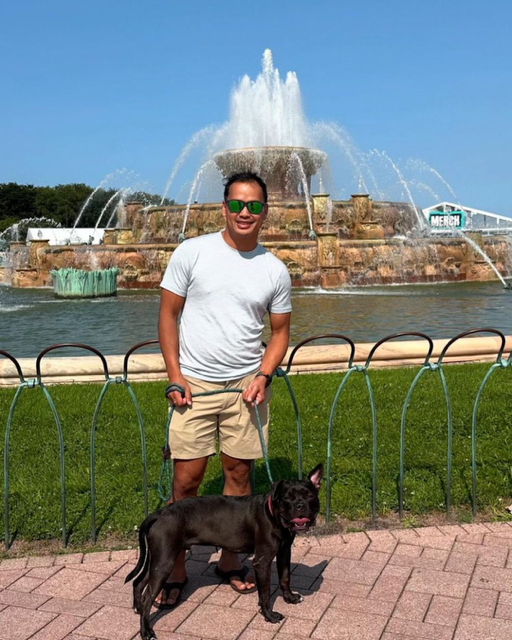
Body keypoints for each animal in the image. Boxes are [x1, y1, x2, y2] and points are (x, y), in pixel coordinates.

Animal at [125, 464, 322, 640]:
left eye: (310, 495)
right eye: (287, 498)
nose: (300, 505)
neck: (272, 513)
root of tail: (158, 513)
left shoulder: (284, 553)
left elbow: (285, 577)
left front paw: (290, 598)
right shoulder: (262, 561)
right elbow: (265, 593)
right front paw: (269, 616)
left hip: (157, 559)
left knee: (139, 582)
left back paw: (138, 609)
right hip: (165, 561)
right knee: (148, 597)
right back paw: (146, 631)